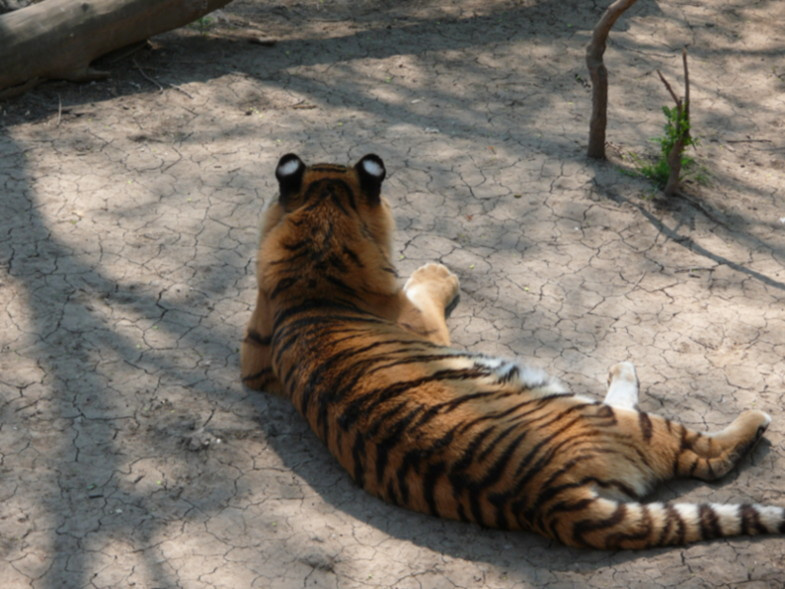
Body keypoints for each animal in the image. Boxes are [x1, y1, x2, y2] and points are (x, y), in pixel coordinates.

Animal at [240, 153, 783, 549]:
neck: (316, 254)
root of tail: (548, 500)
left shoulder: (254, 361)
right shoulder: (424, 326)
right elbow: (426, 290)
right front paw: (439, 270)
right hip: (618, 422)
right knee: (707, 457)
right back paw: (737, 410)